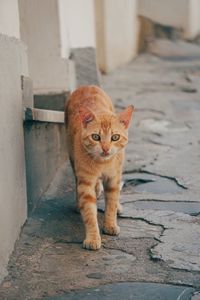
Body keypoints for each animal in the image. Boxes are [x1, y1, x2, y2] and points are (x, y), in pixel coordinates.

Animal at [65, 85, 134, 250]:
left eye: (115, 137)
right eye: (96, 137)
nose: (106, 149)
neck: (102, 164)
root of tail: (87, 85)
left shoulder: (114, 178)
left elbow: (111, 202)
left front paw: (110, 224)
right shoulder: (85, 181)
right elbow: (90, 212)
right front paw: (93, 237)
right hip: (72, 159)